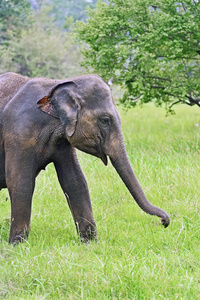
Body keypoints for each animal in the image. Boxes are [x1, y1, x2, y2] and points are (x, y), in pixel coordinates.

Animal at [0, 72, 170, 244]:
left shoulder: (64, 138)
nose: (164, 222)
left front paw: (90, 243)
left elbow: (75, 181)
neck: (58, 84)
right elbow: (20, 182)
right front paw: (17, 244)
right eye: (105, 120)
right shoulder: (19, 133)